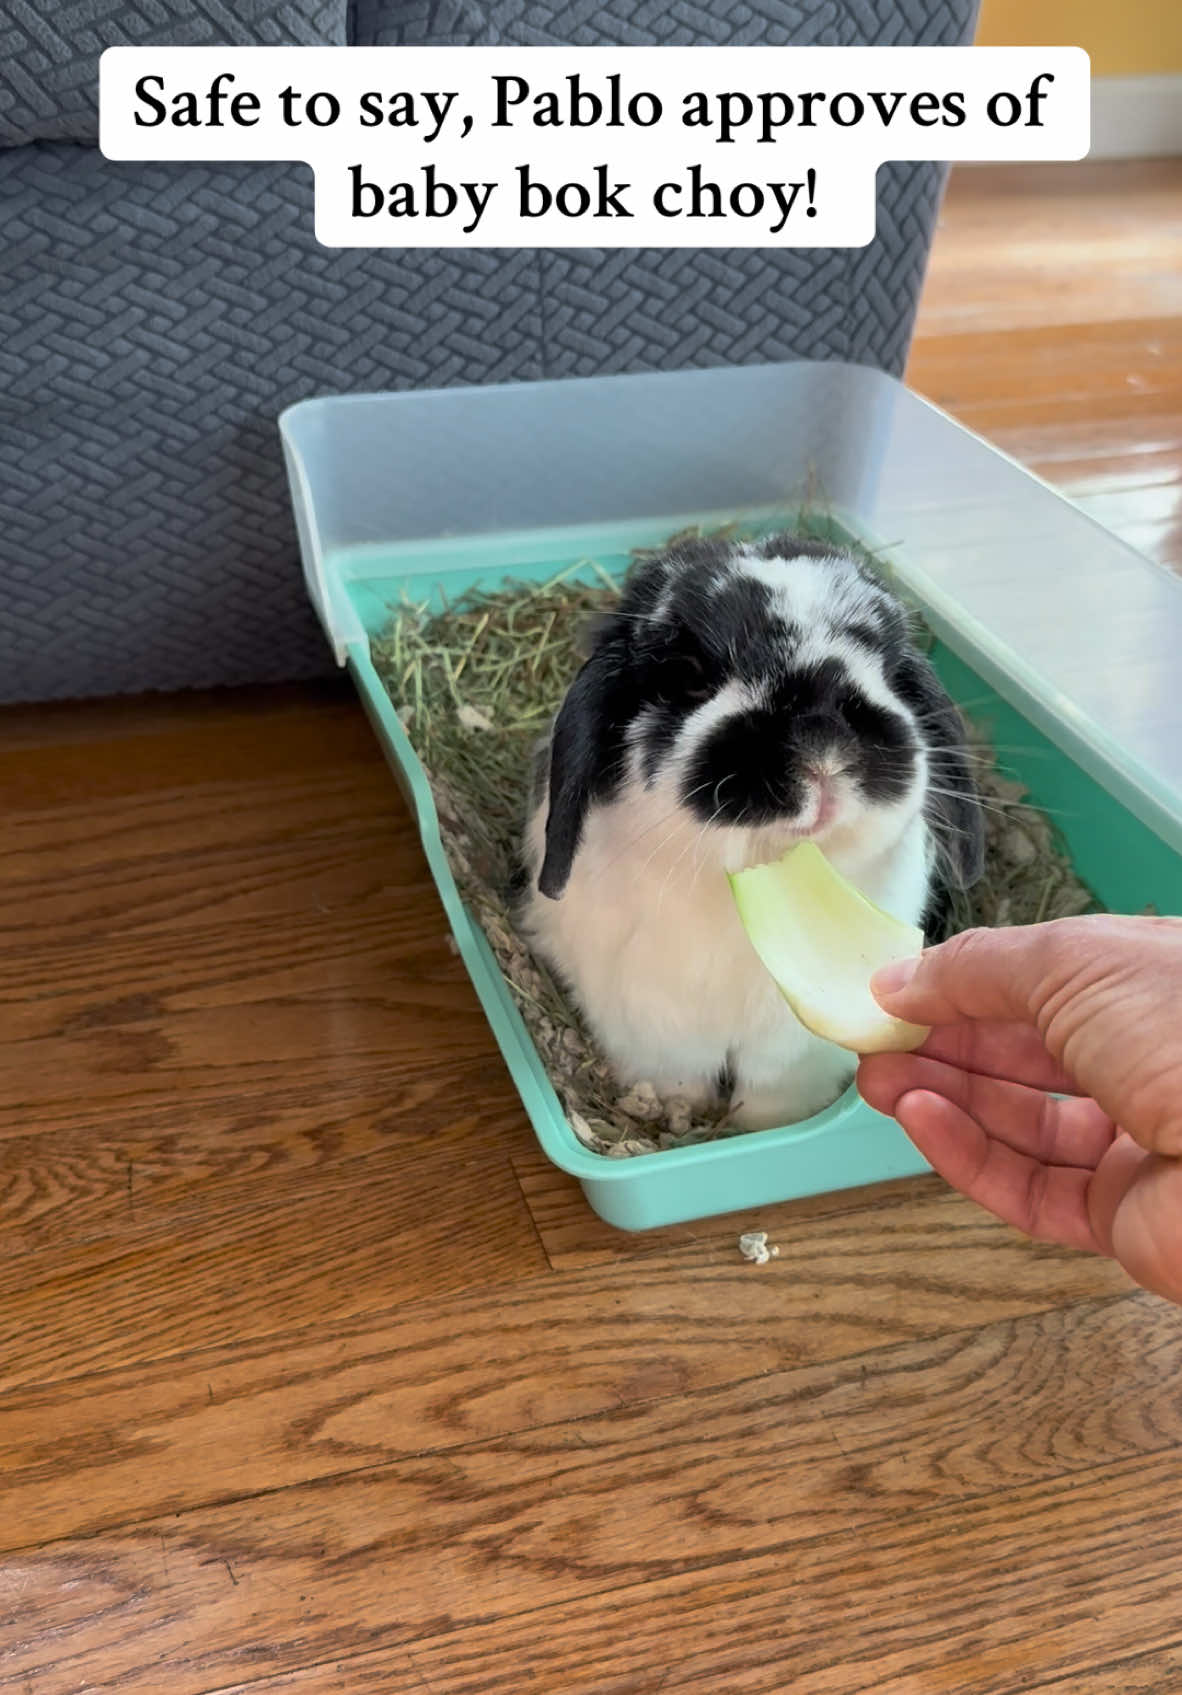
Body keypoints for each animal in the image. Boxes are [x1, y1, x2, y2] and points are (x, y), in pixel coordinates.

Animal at [517, 533, 985, 1132]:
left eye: (886, 665)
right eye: (688, 675)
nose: (820, 733)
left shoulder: (801, 1053)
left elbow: (772, 1102)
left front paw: (761, 1128)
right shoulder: (651, 1030)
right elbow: (677, 1080)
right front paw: (680, 1112)